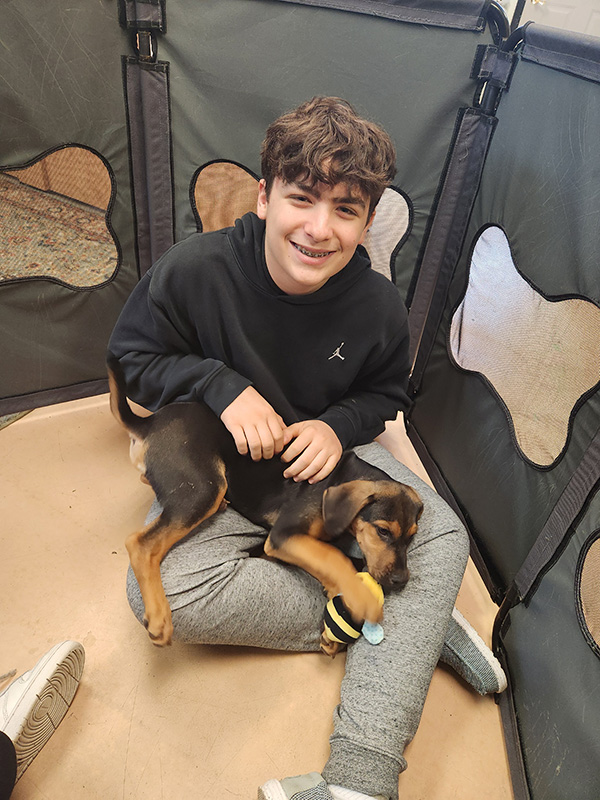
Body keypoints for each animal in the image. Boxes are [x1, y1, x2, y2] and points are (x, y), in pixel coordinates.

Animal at [110, 362, 424, 648]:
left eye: (411, 537)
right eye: (383, 531)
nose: (401, 581)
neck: (342, 478)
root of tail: (149, 423)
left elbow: (334, 560)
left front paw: (336, 618)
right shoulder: (282, 536)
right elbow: (337, 558)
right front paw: (363, 600)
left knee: (145, 478)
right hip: (202, 490)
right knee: (140, 543)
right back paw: (159, 618)